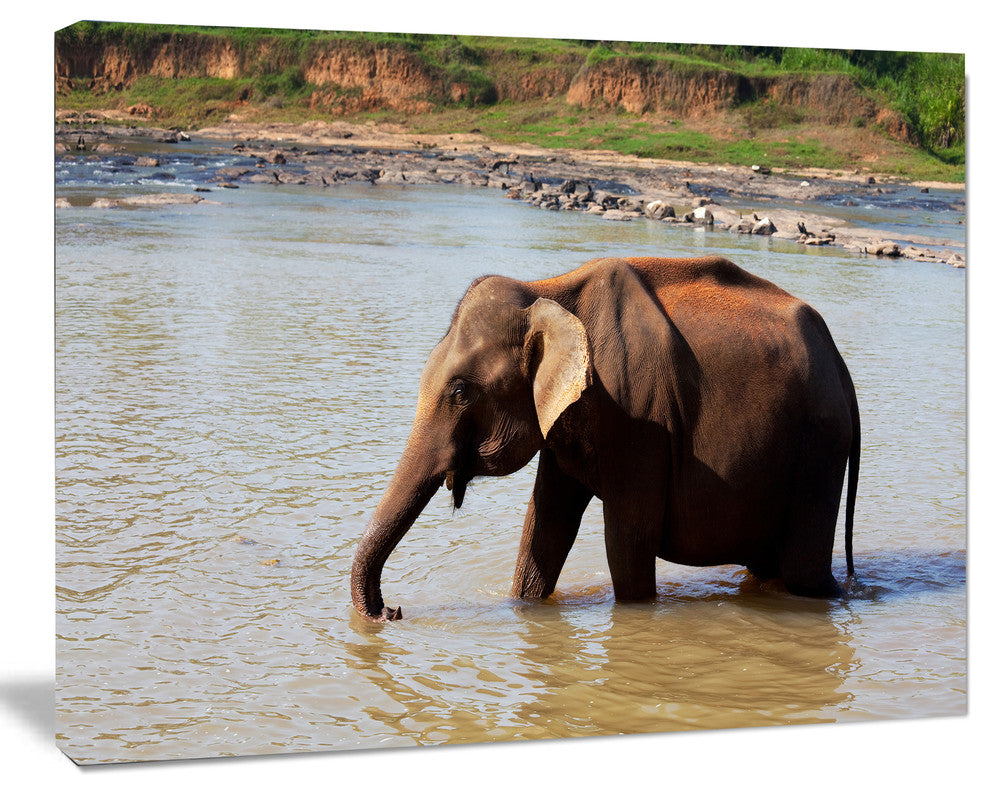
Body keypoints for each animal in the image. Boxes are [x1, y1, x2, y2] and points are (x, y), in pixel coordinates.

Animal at [351, 255, 860, 622]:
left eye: (459, 392)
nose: (393, 611)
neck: (548, 290)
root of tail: (839, 362)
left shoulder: (639, 418)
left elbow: (627, 538)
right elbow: (546, 526)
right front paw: (525, 605)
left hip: (820, 447)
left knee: (803, 571)